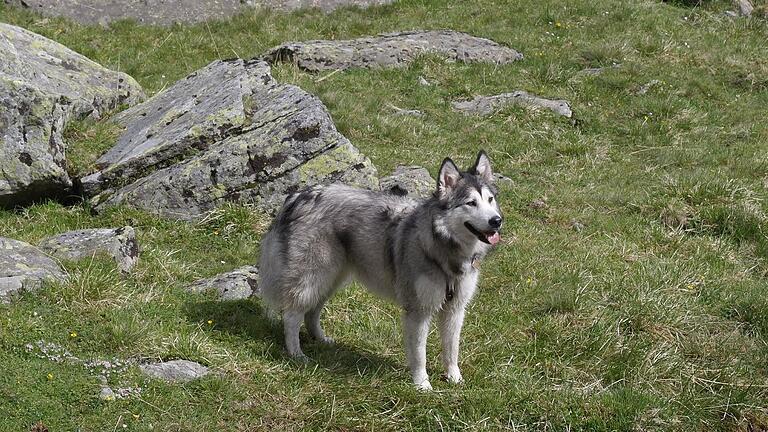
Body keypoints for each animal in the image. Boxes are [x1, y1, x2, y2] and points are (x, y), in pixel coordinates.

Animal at [258, 150, 504, 390]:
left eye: (490, 200)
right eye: (471, 203)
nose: (497, 221)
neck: (443, 247)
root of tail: (299, 195)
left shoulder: (455, 309)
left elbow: (452, 348)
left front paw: (454, 378)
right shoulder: (418, 310)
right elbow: (419, 353)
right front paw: (422, 384)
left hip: (331, 279)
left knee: (312, 311)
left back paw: (321, 340)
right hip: (312, 278)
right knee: (291, 315)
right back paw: (297, 354)